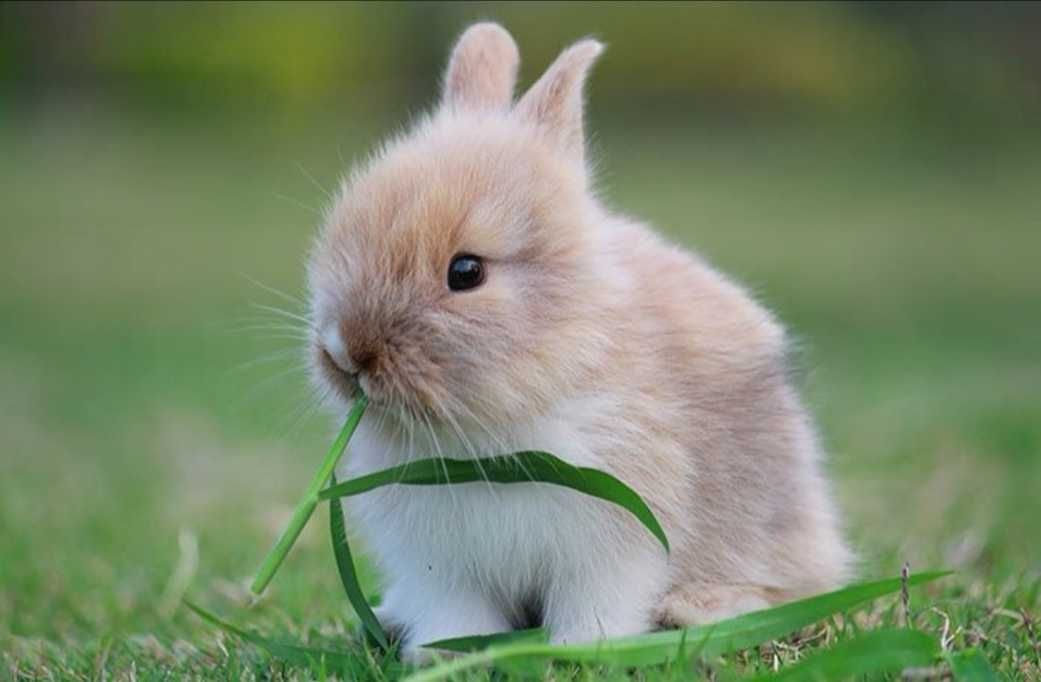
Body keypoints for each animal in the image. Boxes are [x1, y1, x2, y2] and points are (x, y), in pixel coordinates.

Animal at [303, 22, 849, 662]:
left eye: (466, 272)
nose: (345, 353)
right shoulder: (443, 568)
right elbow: (454, 615)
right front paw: (444, 656)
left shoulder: (612, 543)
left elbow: (598, 604)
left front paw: (581, 651)